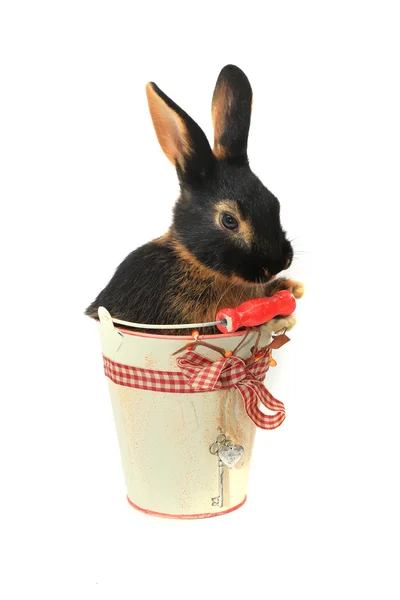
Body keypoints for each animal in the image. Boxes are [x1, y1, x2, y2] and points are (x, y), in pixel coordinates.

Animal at [85, 67, 304, 338]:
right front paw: (276, 320)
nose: (278, 263)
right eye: (229, 220)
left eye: (275, 203)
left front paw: (293, 290)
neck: (196, 263)